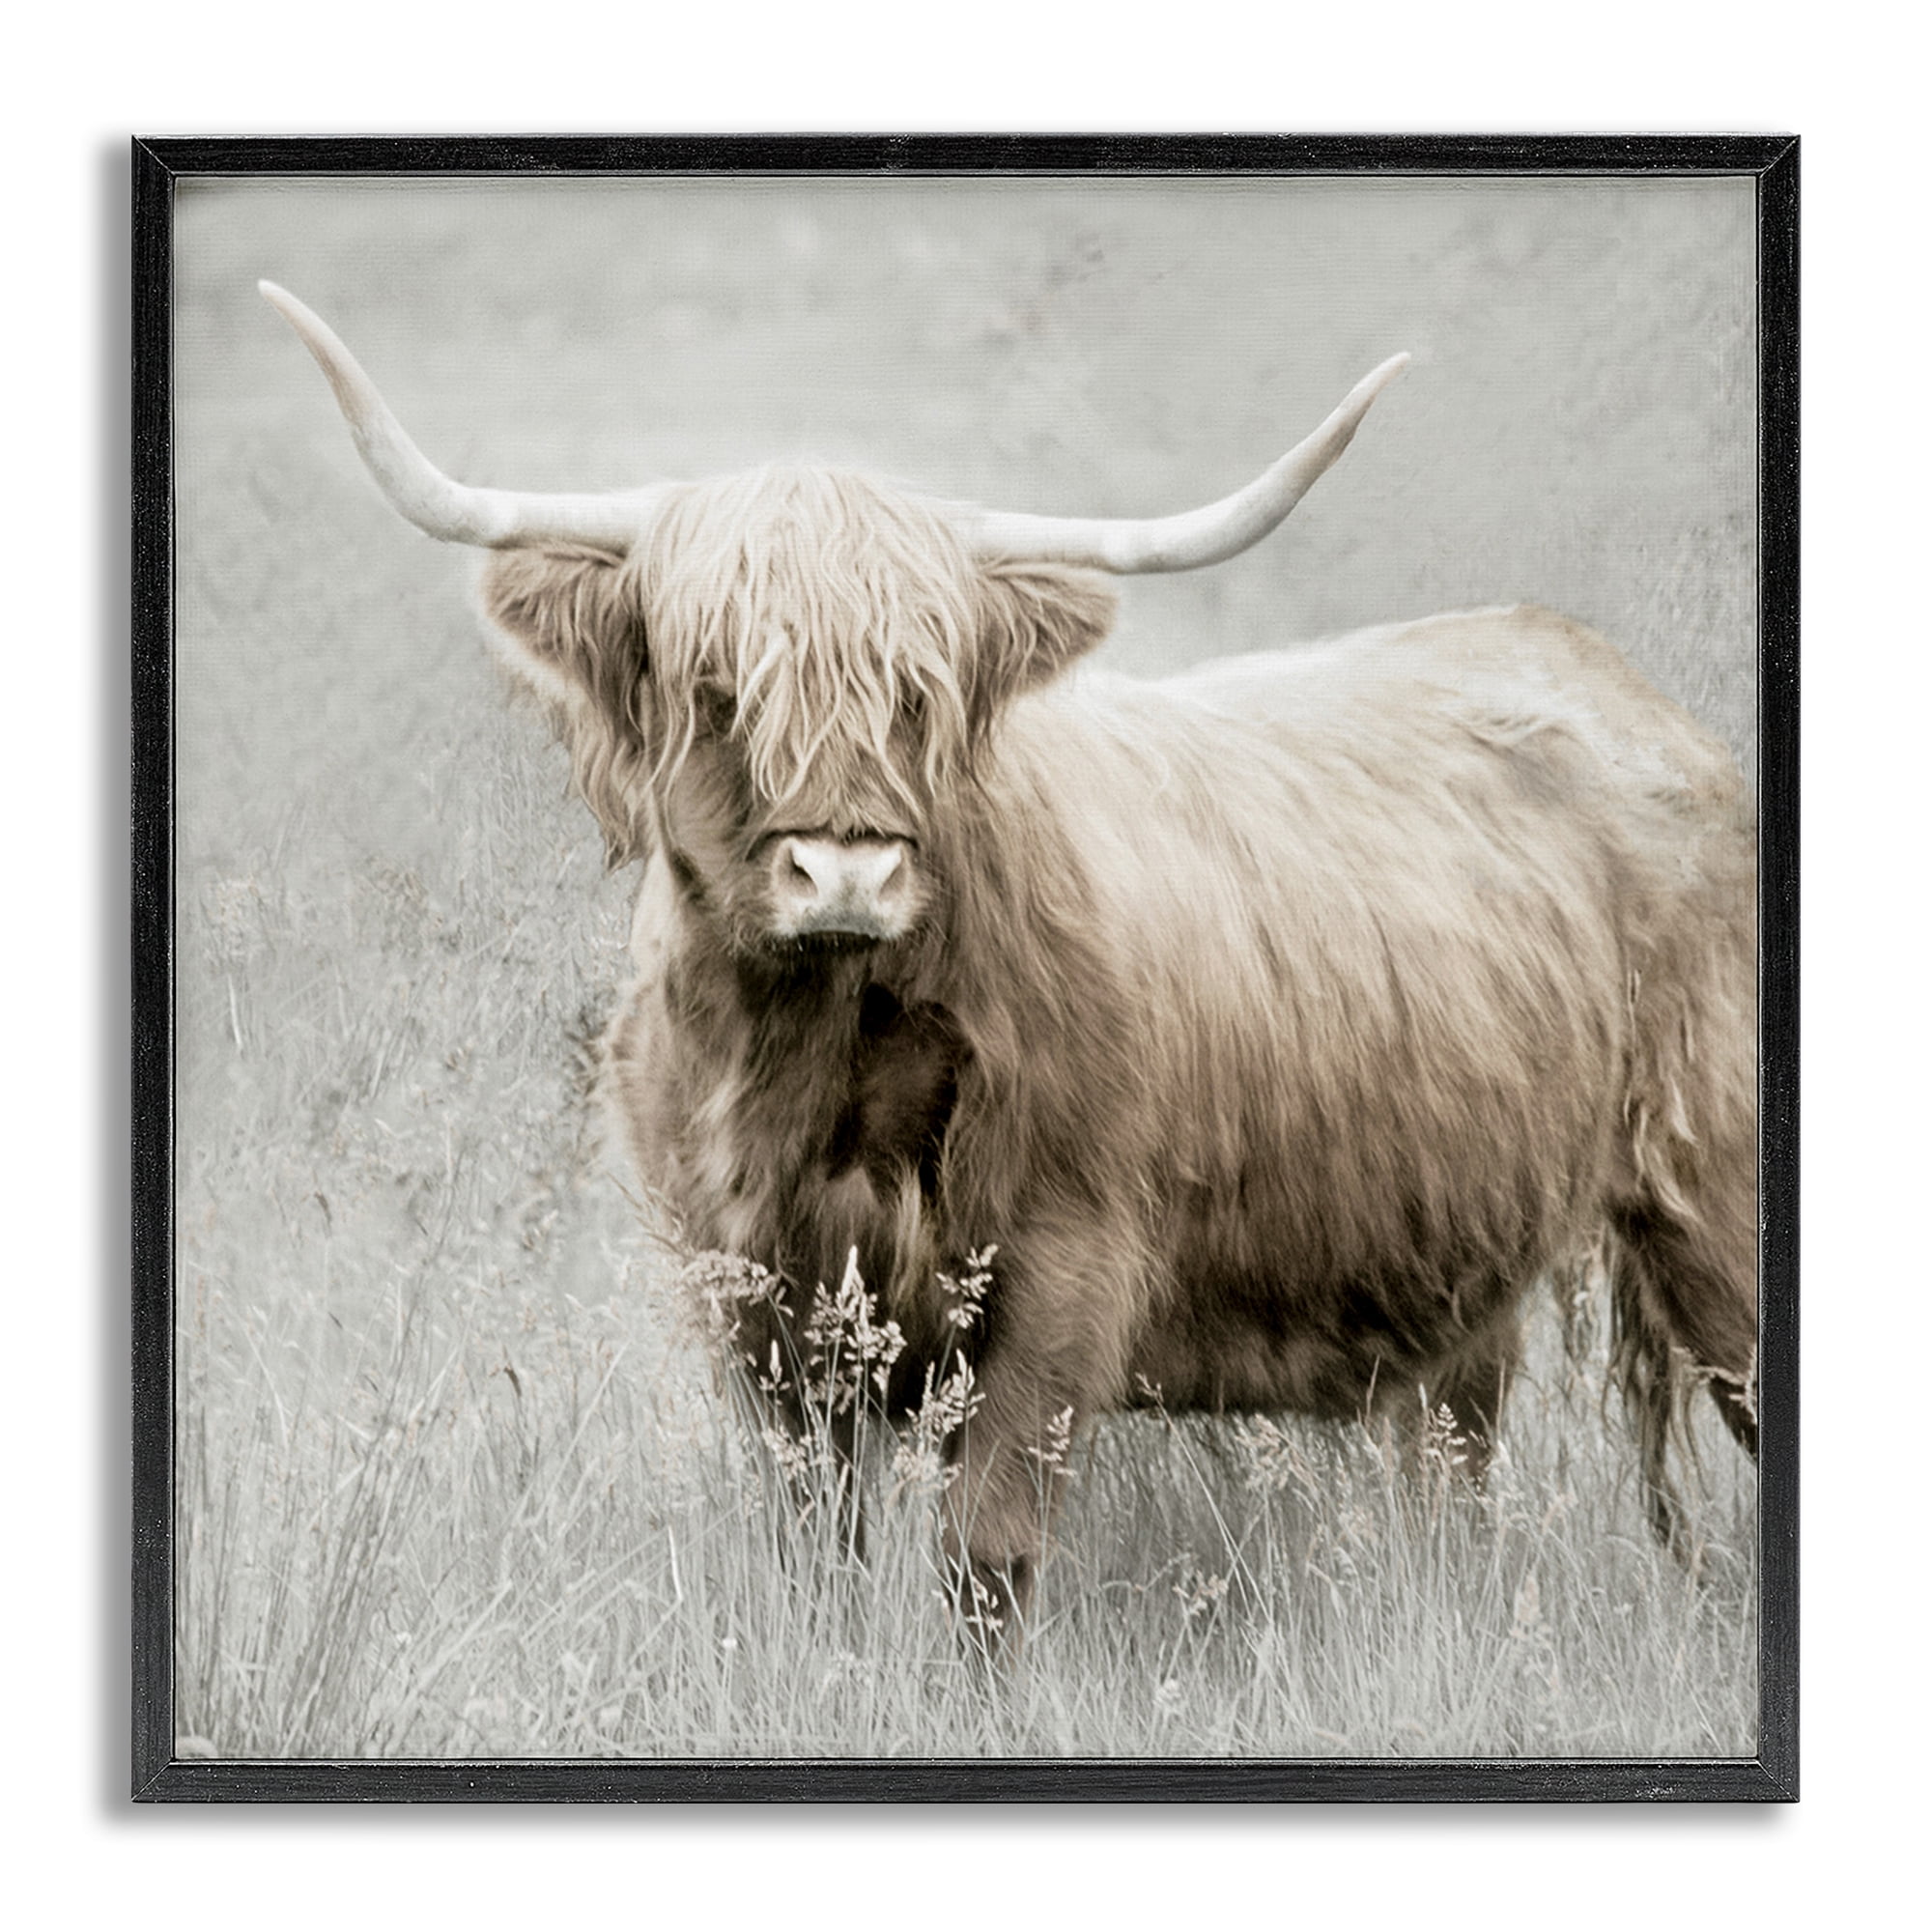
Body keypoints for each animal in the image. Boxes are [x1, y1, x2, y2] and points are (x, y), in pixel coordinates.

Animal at [261, 282, 1759, 1641]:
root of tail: (1623, 690)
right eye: (717, 688)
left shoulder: (1063, 1271)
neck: (815, 1061)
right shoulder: (749, 1297)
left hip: (1711, 1190)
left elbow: (983, 1558)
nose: (844, 873)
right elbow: (809, 1548)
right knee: (1456, 1452)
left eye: (918, 694)